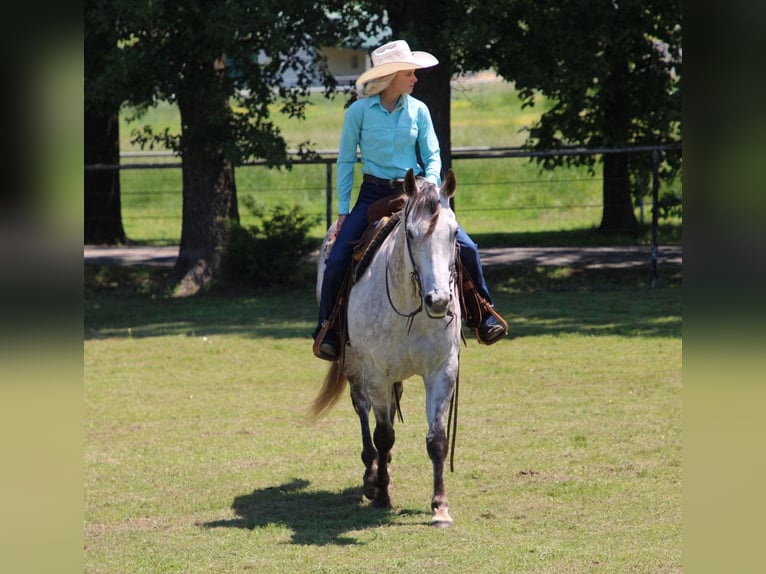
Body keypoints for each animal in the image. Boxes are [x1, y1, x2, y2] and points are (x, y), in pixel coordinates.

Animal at [311, 168, 461, 527]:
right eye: (410, 232)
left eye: (453, 234)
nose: (439, 301)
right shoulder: (376, 372)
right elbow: (383, 433)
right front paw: (380, 494)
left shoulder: (442, 370)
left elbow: (436, 439)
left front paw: (440, 507)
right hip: (354, 364)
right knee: (363, 410)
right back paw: (371, 473)